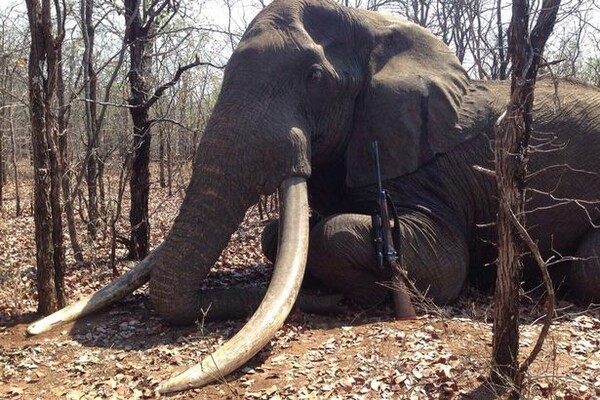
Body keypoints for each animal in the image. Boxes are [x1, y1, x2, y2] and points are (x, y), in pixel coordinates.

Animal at [28, 0, 600, 394]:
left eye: (314, 78)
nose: (321, 302)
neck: (374, 24)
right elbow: (276, 232)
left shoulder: (428, 164)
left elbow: (441, 264)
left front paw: (347, 292)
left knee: (585, 270)